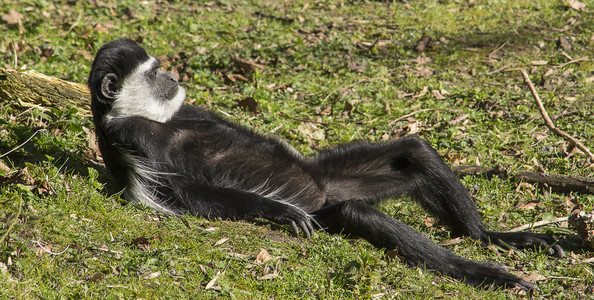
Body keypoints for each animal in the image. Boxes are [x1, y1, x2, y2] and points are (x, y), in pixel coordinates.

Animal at [88, 38, 560, 290]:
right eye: (153, 74)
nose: (172, 78)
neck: (147, 116)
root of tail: (324, 190)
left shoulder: (184, 111)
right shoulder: (129, 141)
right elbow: (188, 193)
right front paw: (280, 211)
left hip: (336, 174)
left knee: (415, 152)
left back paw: (492, 239)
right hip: (333, 205)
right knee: (356, 211)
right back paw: (483, 272)